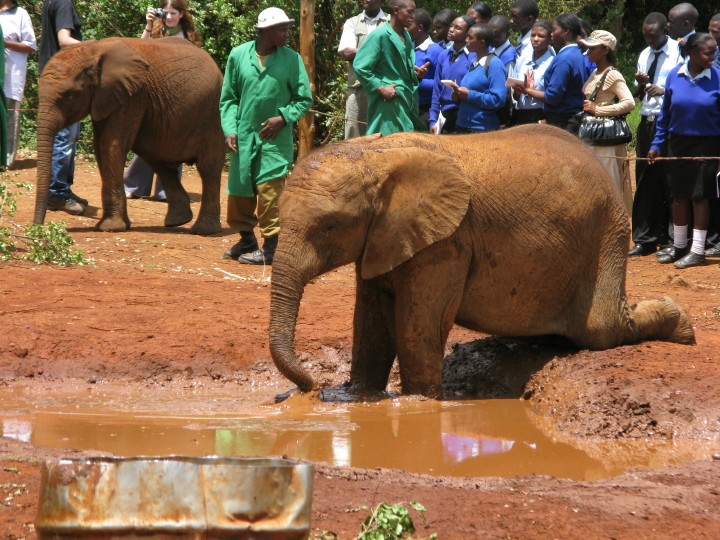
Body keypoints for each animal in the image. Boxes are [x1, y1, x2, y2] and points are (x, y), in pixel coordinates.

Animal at [35, 37, 224, 235]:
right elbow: (100, 147)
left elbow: (110, 145)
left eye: (70, 97)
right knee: (159, 163)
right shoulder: (108, 97)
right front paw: (114, 225)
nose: (37, 228)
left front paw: (110, 227)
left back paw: (204, 230)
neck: (92, 49)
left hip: (212, 112)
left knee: (208, 166)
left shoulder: (132, 97)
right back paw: (177, 221)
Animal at [268, 125, 695, 398]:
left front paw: (418, 403)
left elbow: (416, 327)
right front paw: (356, 398)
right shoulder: (384, 238)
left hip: (606, 231)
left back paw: (683, 326)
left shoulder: (448, 242)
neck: (378, 155)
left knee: (601, 328)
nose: (309, 388)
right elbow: (370, 323)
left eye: (329, 226)